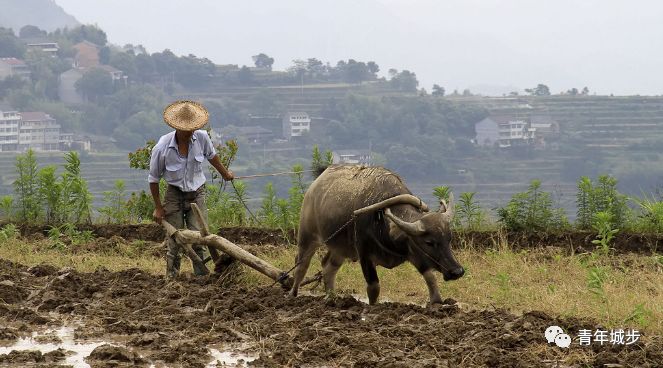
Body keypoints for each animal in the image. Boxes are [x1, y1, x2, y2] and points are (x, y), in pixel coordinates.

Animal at [288, 166, 464, 304]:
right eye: (429, 242)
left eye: (449, 239)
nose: (457, 272)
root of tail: (315, 185)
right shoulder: (364, 254)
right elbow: (374, 287)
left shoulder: (414, 253)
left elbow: (430, 277)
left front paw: (437, 302)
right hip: (307, 236)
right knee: (301, 266)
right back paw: (292, 295)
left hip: (340, 248)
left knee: (328, 267)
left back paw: (331, 298)